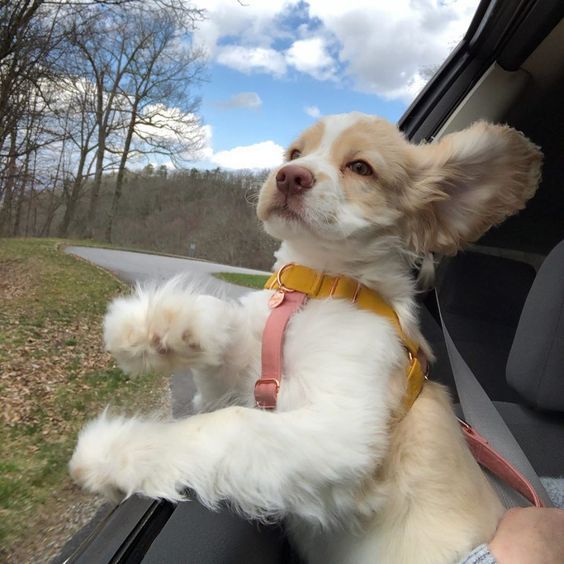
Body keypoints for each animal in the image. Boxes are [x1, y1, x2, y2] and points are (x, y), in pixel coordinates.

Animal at [70, 112, 540, 560]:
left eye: (360, 167)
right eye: (295, 152)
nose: (289, 176)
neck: (316, 284)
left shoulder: (342, 429)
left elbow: (228, 424)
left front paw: (114, 452)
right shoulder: (238, 383)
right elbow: (223, 323)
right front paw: (153, 325)